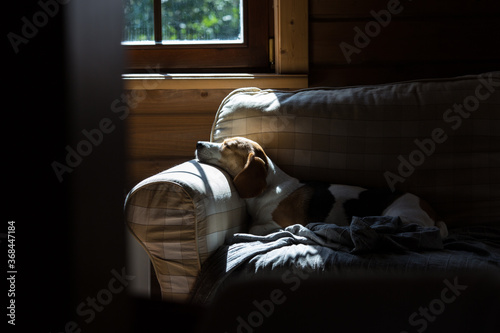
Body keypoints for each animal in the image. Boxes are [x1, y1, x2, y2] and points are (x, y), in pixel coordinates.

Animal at [193, 137, 448, 236]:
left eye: (227, 146)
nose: (198, 143)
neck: (268, 189)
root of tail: (434, 213)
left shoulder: (279, 224)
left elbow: (253, 227)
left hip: (399, 216)